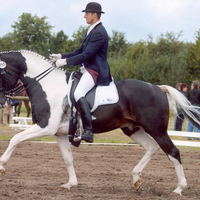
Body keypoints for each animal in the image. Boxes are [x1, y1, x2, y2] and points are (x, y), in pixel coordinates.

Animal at [0, 50, 200, 195]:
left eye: (0, 72)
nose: (3, 101)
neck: (49, 86)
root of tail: (158, 88)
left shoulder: (45, 127)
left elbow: (15, 139)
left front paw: (1, 166)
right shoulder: (59, 133)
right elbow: (67, 158)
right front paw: (70, 184)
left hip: (157, 130)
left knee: (172, 152)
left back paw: (179, 189)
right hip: (132, 129)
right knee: (152, 148)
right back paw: (136, 179)